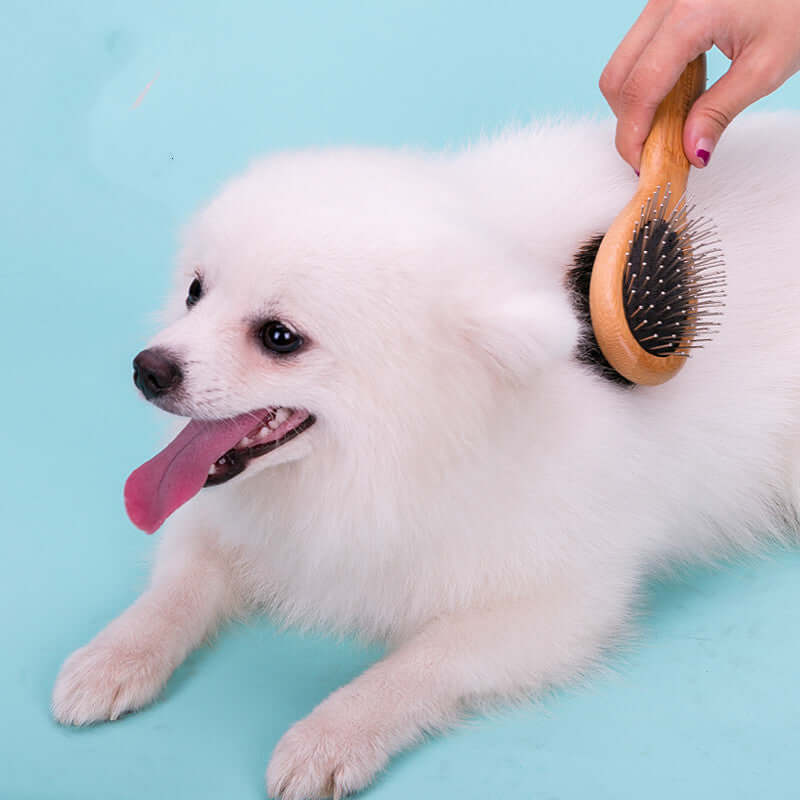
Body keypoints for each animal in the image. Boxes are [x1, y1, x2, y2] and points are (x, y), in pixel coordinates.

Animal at [51, 114, 800, 800]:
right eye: (195, 291)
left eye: (279, 337)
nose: (148, 368)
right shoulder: (228, 519)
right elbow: (180, 584)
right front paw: (115, 657)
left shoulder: (559, 598)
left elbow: (422, 662)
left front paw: (332, 733)